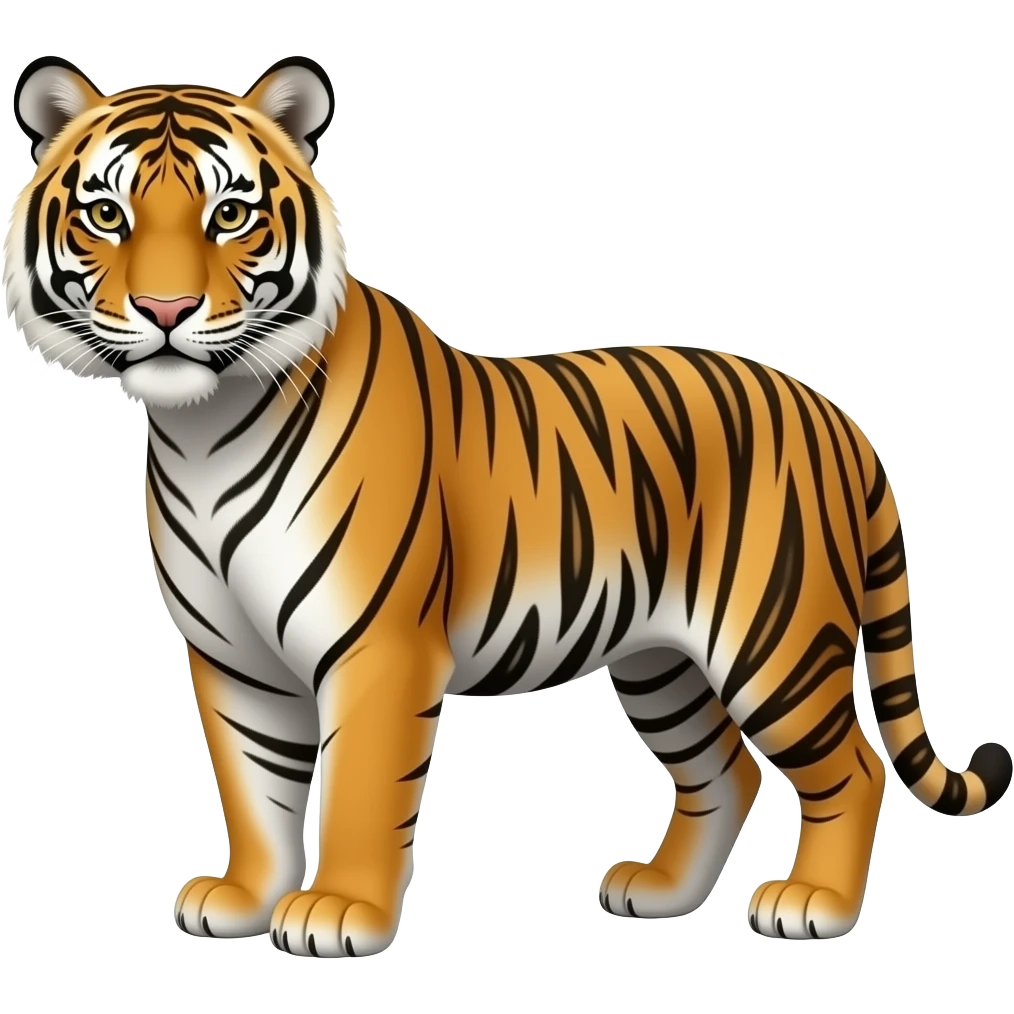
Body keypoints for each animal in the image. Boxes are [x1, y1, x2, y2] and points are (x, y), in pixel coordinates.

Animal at [6, 53, 1011, 959]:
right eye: (106, 214)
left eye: (230, 215)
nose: (165, 309)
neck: (205, 429)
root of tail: (836, 414)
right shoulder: (232, 657)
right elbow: (254, 789)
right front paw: (246, 898)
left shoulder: (378, 647)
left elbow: (360, 788)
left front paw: (338, 913)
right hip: (659, 658)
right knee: (722, 767)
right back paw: (660, 892)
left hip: (775, 639)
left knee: (855, 767)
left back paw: (814, 907)